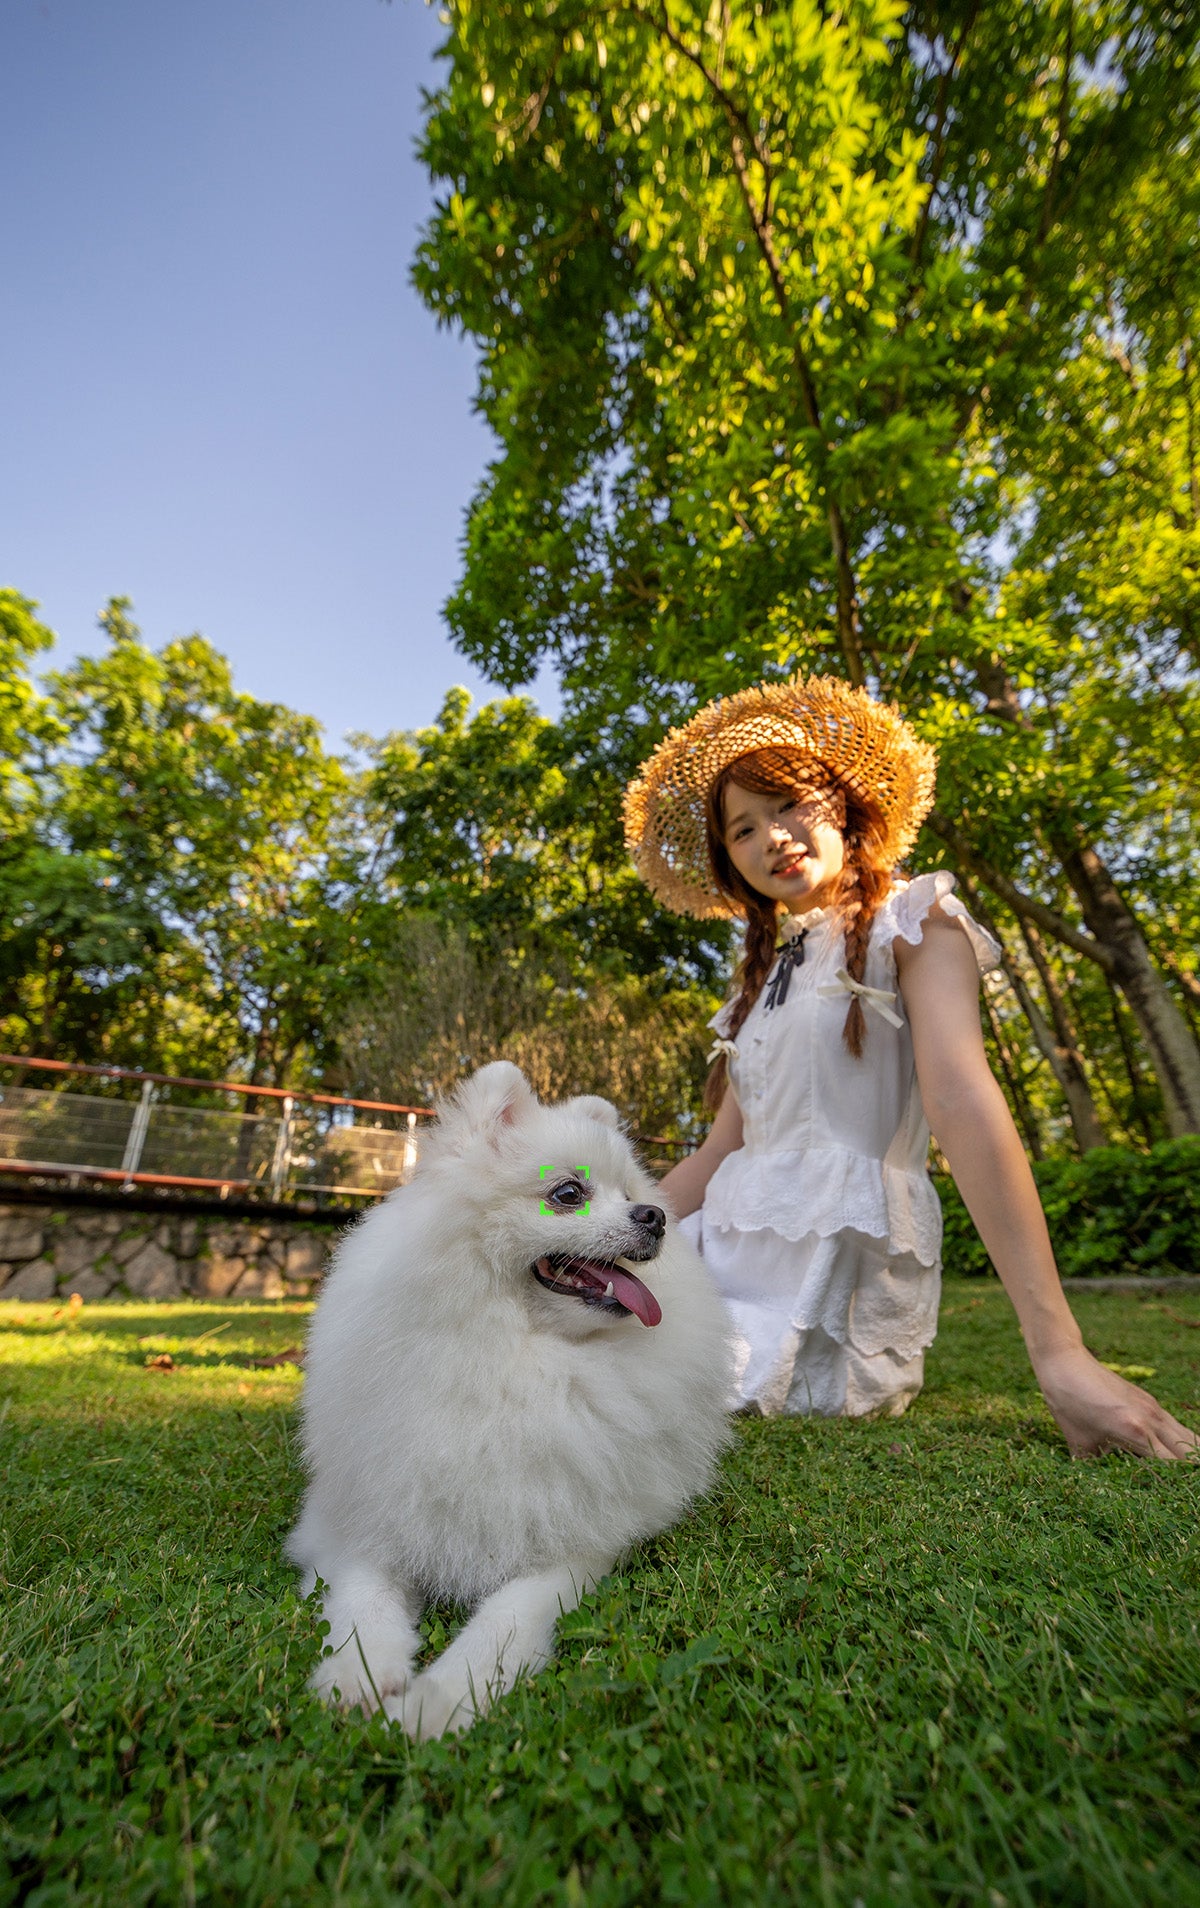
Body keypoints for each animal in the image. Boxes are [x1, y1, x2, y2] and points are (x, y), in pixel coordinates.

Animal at [286, 1060, 733, 1739]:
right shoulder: (363, 1512)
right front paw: (358, 1674)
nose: (654, 1214)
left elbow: (503, 1622)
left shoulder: (572, 1545)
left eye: (630, 1191)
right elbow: (363, 1598)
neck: (510, 1359)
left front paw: (439, 1698)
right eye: (569, 1193)